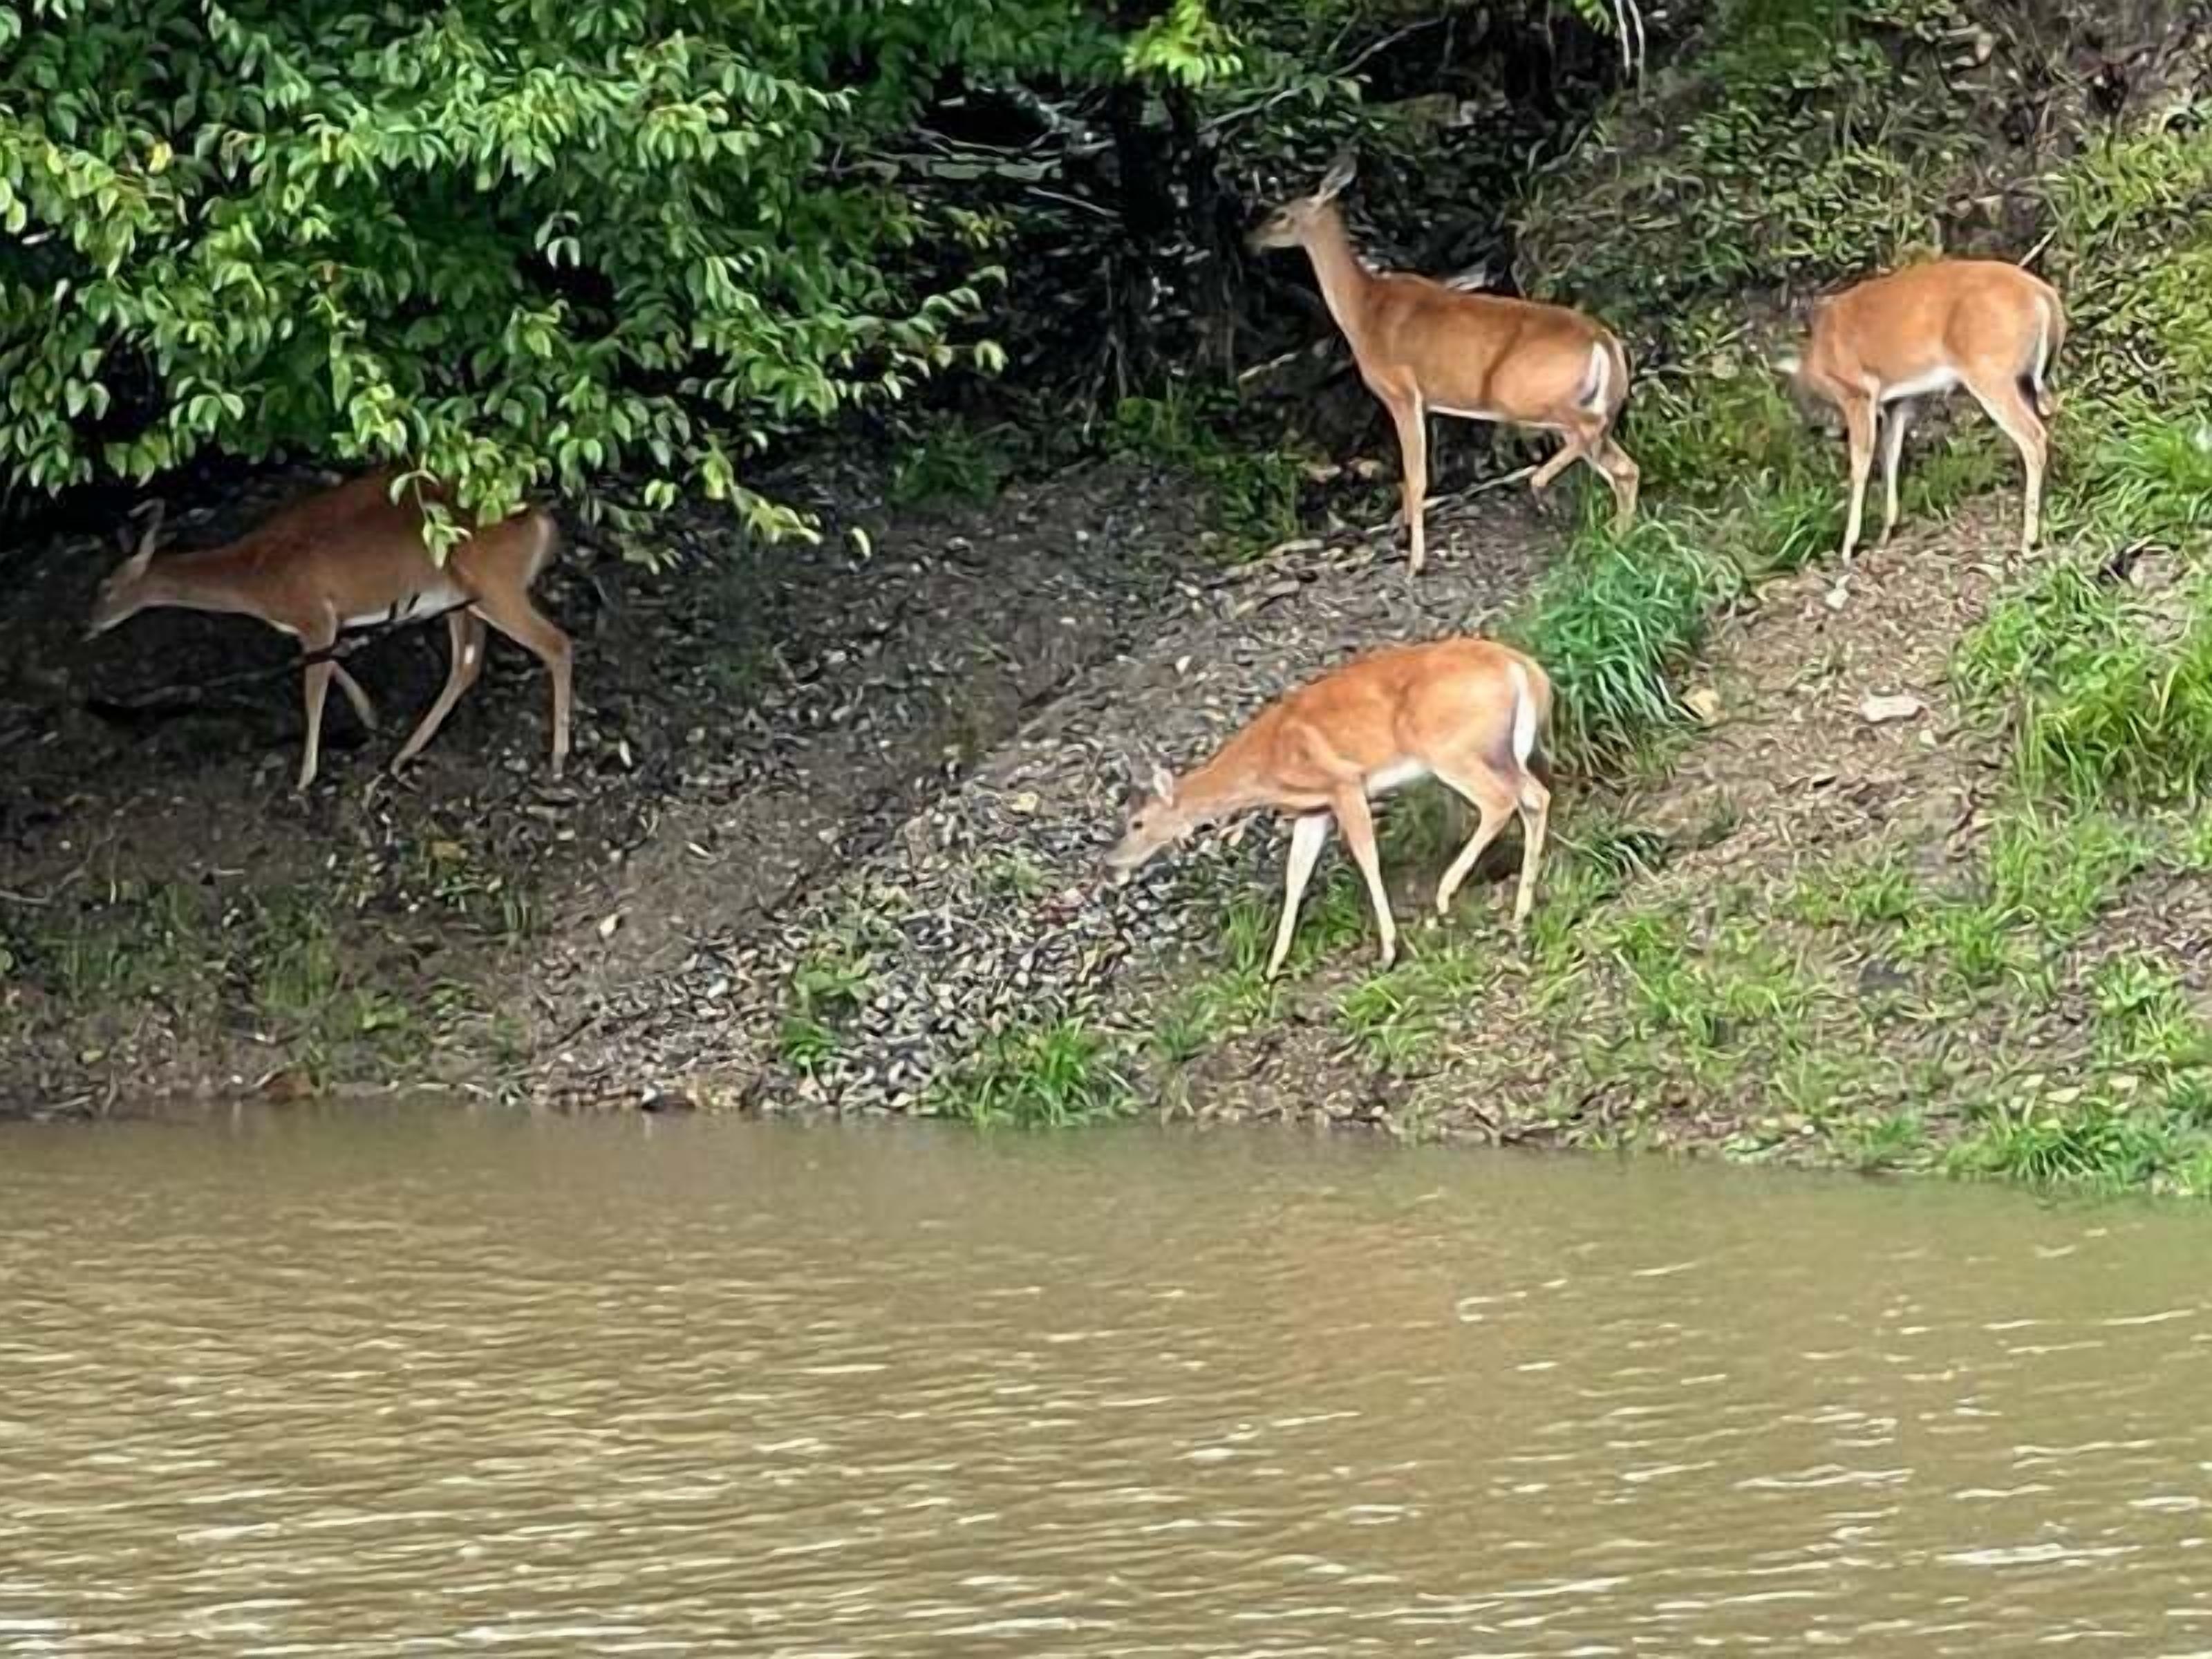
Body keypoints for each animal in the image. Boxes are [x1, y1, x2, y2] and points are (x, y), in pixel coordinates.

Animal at [84, 470, 572, 791]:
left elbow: (313, 687)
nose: (87, 627)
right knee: (467, 663)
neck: (256, 577)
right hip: (459, 597)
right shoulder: (318, 623)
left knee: (556, 644)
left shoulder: (313, 613)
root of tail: (543, 523)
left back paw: (557, 758)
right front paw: (369, 715)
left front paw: (304, 778)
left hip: (494, 585)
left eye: (106, 587)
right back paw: (401, 756)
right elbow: (329, 664)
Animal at [1104, 638, 1553, 979]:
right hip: (1498, 750)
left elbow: (1367, 857)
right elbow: (1295, 876)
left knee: (1501, 801)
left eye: (1137, 823)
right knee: (1535, 796)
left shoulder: (1344, 782)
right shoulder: (1313, 809)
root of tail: (1524, 669)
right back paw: (1520, 911)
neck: (1267, 761)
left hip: (1451, 747)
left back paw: (1446, 894)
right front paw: (1273, 965)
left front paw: (1388, 949)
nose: (1112, 861)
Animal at [1246, 153, 1638, 576]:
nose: (1250, 240)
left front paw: (1414, 563)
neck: (1365, 311)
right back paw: (1614, 538)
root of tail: (1605, 341)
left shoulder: (1401, 392)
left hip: (1526, 394)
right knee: (1622, 465)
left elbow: (1416, 479)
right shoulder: (1426, 402)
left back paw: (1545, 488)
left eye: (1281, 214)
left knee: (1594, 441)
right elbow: (1411, 480)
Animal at [1778, 257, 2067, 563]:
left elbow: (1861, 464)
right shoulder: (1898, 401)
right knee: (2046, 426)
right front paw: (1886, 533)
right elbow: (1890, 455)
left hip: (1990, 372)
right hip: (2025, 380)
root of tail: (2046, 296)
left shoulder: (1857, 392)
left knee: (2033, 437)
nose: (1819, 429)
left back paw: (2027, 539)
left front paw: (1848, 547)